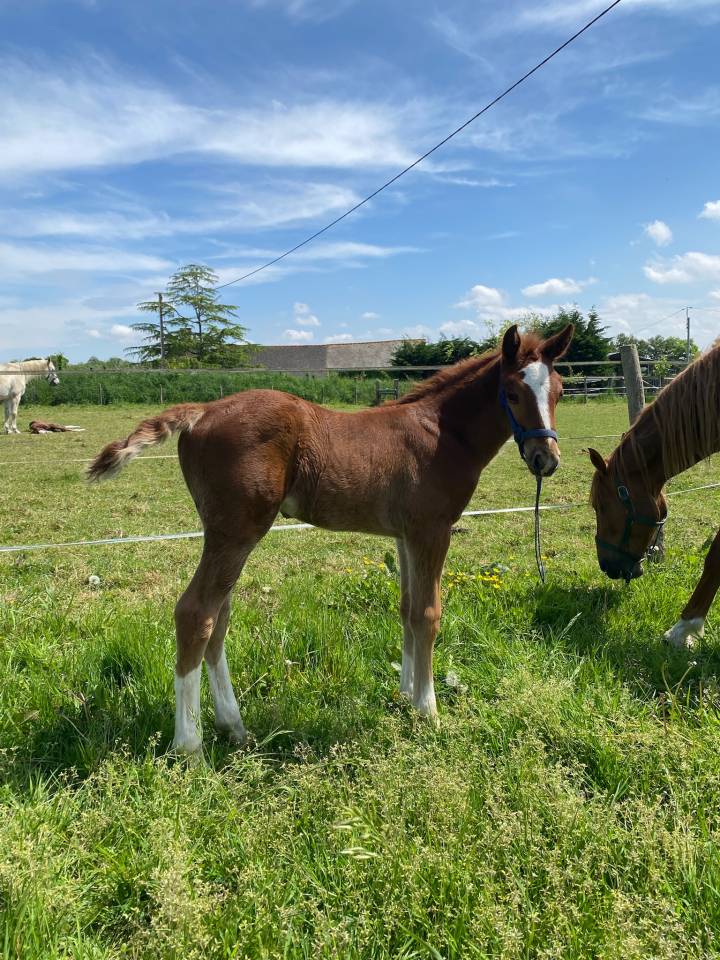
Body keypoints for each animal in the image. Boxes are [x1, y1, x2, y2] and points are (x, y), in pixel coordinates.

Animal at [88, 323, 573, 754]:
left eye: (559, 392)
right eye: (512, 393)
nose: (545, 458)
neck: (442, 433)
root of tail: (202, 411)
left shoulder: (405, 535)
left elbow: (406, 610)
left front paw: (404, 695)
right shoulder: (432, 530)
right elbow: (428, 614)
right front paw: (428, 710)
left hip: (223, 533)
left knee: (218, 617)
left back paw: (233, 726)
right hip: (237, 531)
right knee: (196, 614)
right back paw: (190, 746)